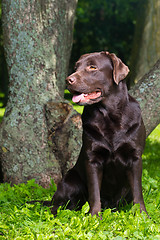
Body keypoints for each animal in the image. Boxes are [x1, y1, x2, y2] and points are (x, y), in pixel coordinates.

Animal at [51, 51, 148, 217]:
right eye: (76, 67)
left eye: (92, 67)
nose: (68, 80)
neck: (110, 116)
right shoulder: (93, 160)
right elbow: (94, 192)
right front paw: (95, 216)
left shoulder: (135, 158)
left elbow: (138, 191)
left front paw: (142, 215)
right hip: (70, 180)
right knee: (56, 203)